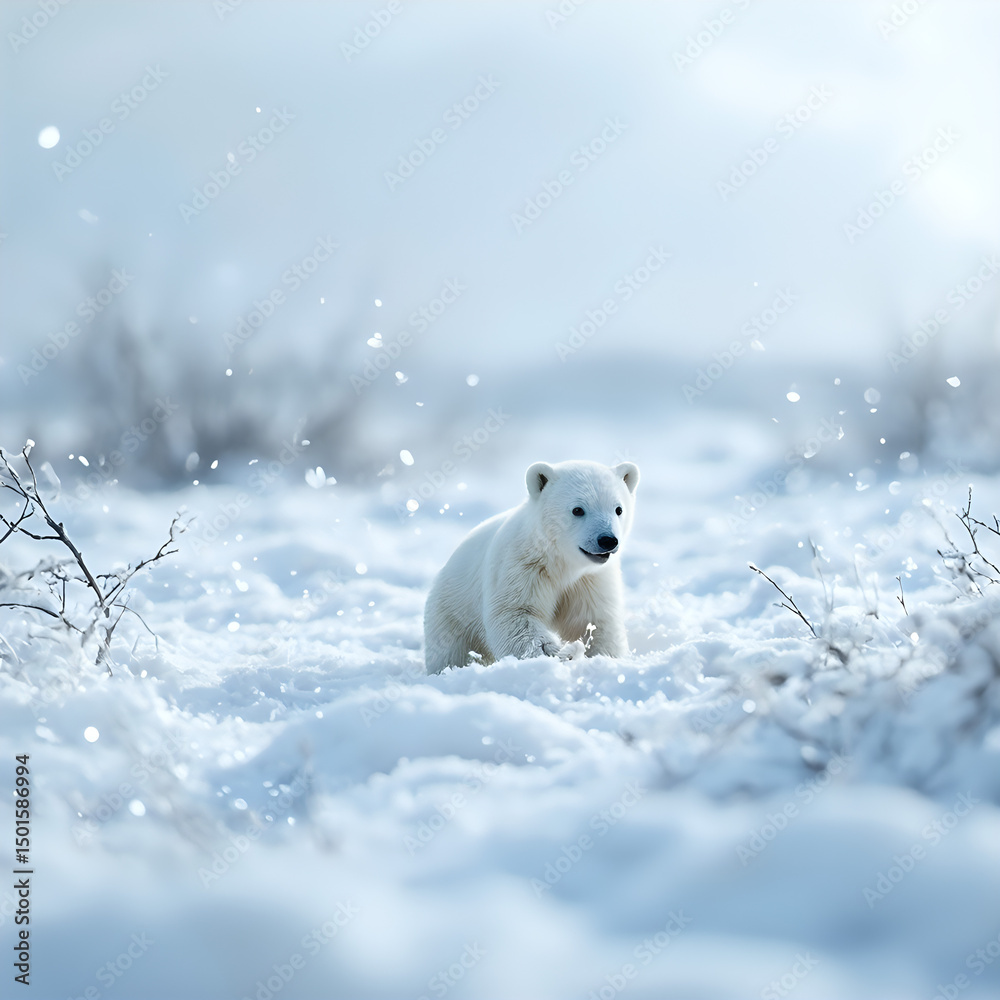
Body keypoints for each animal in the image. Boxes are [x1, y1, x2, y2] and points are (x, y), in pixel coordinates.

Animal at [423, 459, 639, 674]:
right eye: (578, 509)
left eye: (618, 509)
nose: (607, 540)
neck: (561, 562)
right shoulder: (520, 568)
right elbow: (515, 614)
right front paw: (555, 653)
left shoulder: (590, 580)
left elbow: (595, 620)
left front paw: (605, 657)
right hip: (452, 613)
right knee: (452, 650)